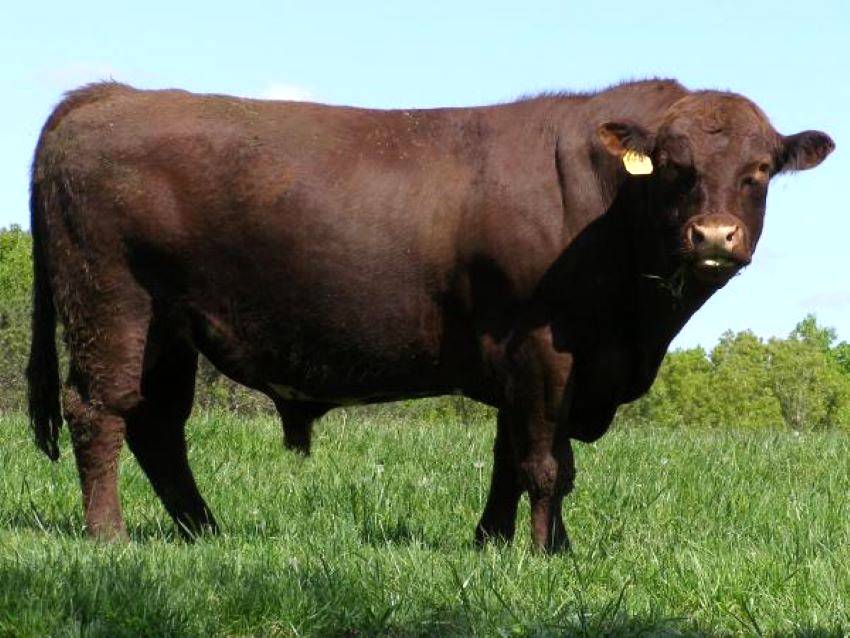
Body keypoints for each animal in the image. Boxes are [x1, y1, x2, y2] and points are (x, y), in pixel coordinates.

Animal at [26, 79, 833, 550]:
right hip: (113, 303)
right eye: (674, 167)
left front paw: (495, 544)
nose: (713, 237)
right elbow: (547, 463)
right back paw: (110, 536)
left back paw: (205, 532)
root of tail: (109, 95)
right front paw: (545, 555)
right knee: (100, 410)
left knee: (159, 427)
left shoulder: (526, 363)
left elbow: (510, 458)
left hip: (171, 327)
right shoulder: (545, 346)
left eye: (759, 171)